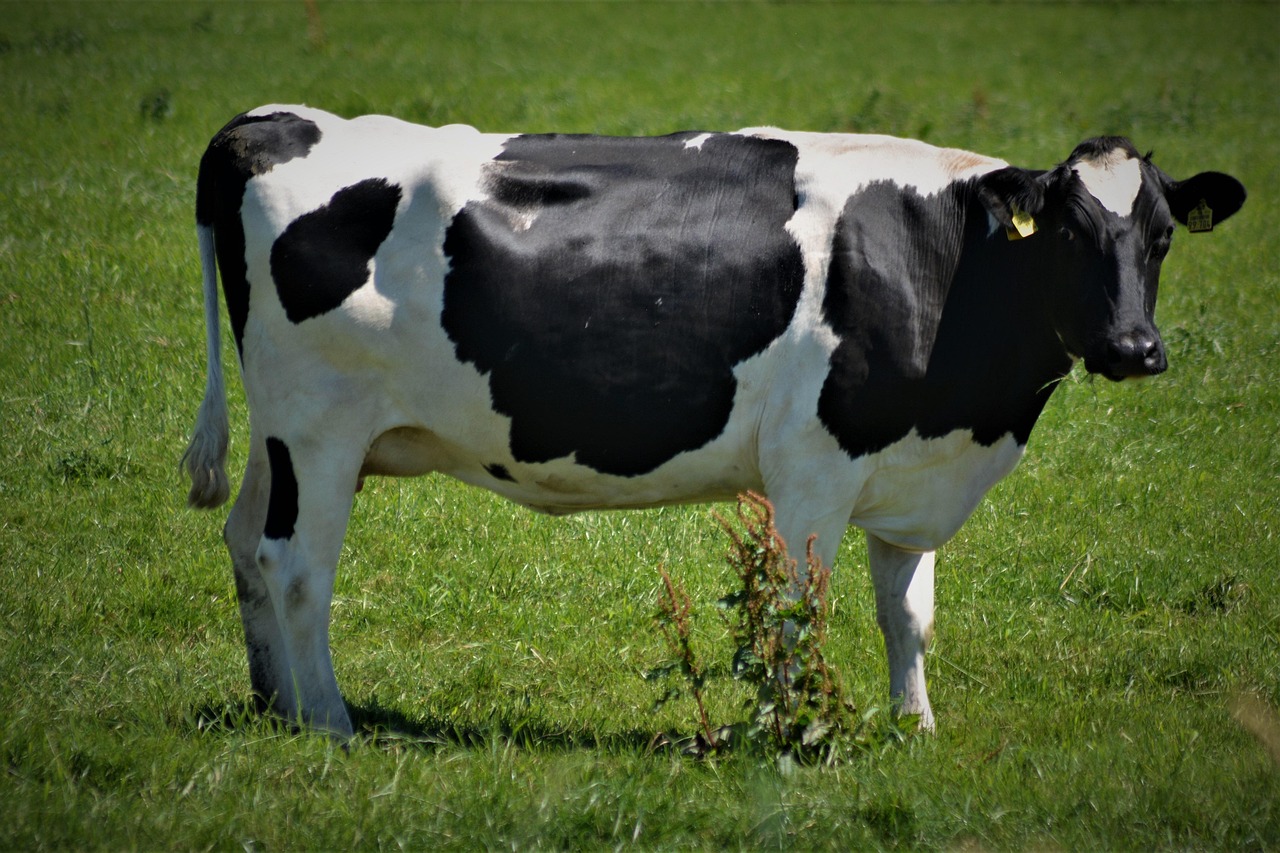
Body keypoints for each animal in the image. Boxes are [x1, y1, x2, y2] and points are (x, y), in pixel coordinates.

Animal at [183, 105, 1245, 738]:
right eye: (1067, 230)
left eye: (1159, 237)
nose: (1135, 347)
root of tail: (271, 121)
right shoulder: (813, 464)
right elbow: (799, 607)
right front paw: (800, 728)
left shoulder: (909, 466)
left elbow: (909, 614)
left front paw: (916, 731)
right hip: (316, 429)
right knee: (296, 562)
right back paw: (327, 721)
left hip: (284, 438)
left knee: (243, 539)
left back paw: (273, 703)